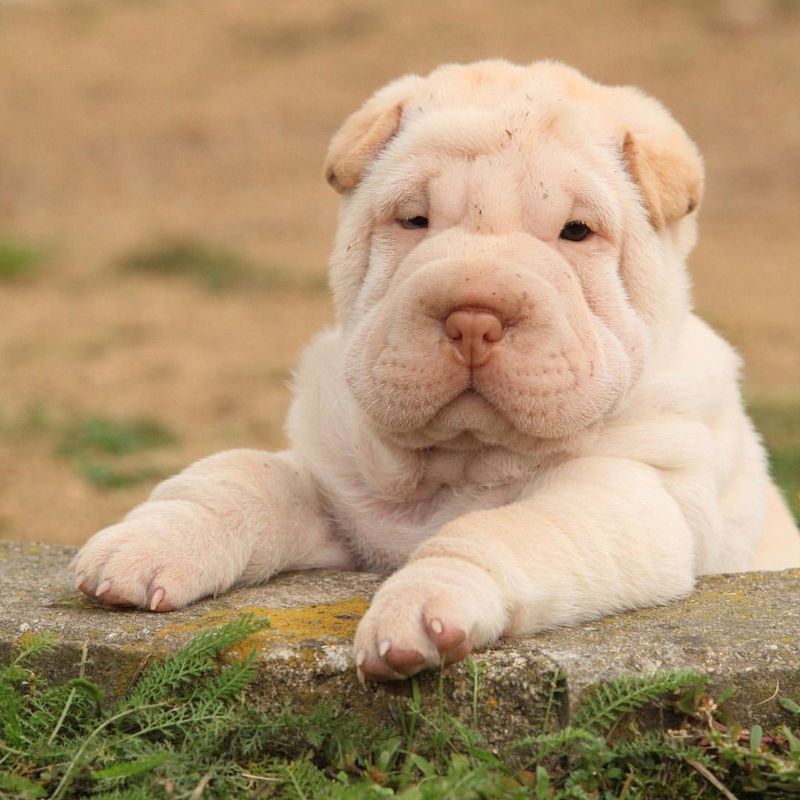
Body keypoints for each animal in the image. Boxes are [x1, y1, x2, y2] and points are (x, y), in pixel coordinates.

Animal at [70, 59, 800, 680]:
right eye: (414, 220)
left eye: (576, 232)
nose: (473, 319)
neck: (457, 465)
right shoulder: (332, 490)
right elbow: (239, 479)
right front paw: (145, 545)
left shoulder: (635, 495)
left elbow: (502, 529)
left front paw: (420, 608)